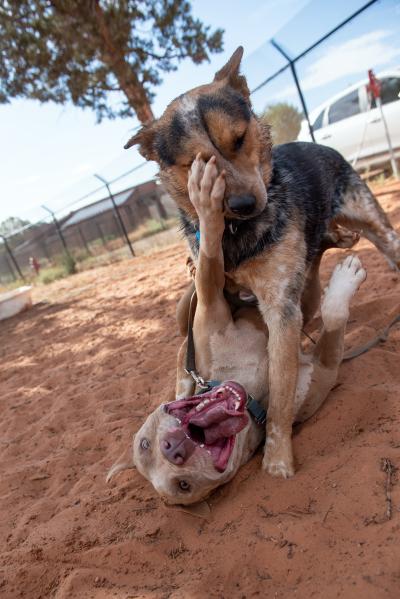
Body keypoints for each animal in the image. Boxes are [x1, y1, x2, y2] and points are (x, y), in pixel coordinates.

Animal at [126, 45, 400, 478]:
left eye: (239, 139)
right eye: (195, 163)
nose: (243, 203)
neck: (237, 234)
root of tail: (315, 143)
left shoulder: (279, 309)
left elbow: (282, 394)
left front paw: (278, 457)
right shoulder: (210, 295)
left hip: (372, 224)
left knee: (382, 245)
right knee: (317, 266)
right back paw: (333, 241)